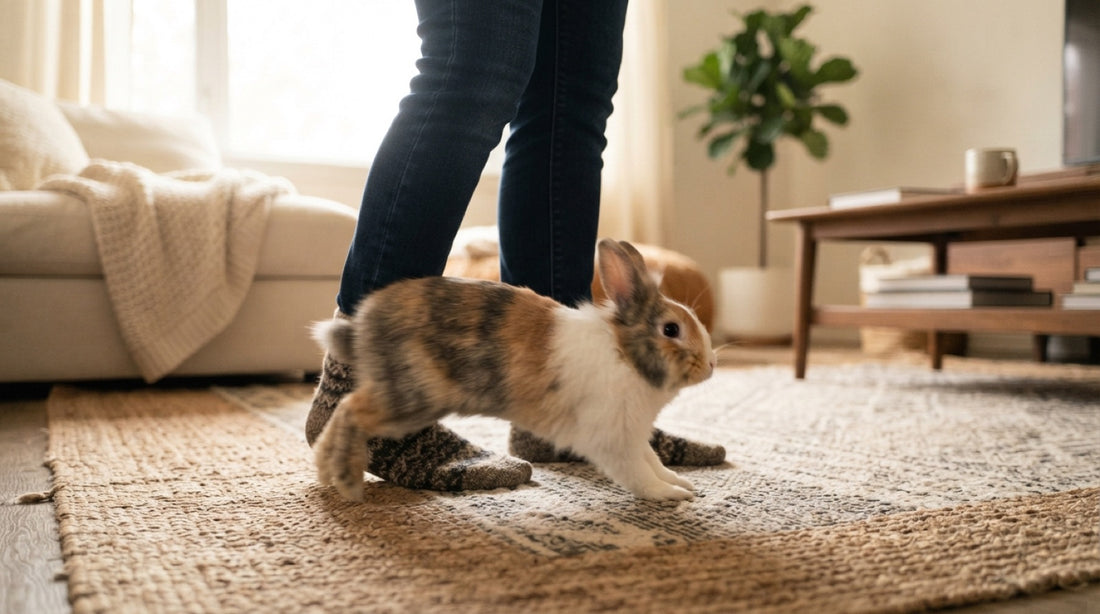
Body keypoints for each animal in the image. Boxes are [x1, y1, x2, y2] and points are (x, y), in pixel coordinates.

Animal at [311, 239, 717, 501]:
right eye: (671, 330)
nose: (711, 364)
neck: (625, 355)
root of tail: (364, 325)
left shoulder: (633, 434)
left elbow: (652, 460)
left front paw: (681, 483)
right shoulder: (614, 438)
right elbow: (638, 473)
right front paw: (670, 495)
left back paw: (327, 471)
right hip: (412, 398)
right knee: (348, 411)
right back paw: (342, 478)